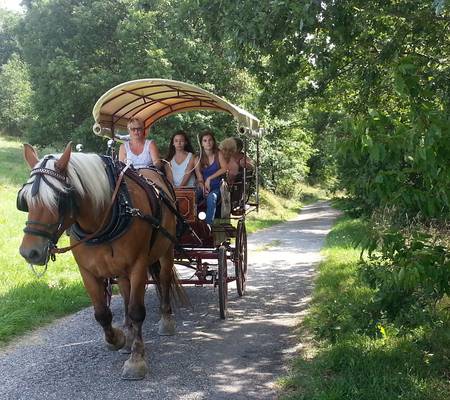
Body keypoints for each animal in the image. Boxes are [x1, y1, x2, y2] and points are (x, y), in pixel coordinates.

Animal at [15, 142, 185, 380]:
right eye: (24, 200)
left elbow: (137, 310)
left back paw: (166, 320)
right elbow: (102, 313)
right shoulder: (87, 271)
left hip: (166, 249)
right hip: (121, 269)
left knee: (164, 279)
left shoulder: (138, 265)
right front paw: (119, 338)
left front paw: (136, 360)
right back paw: (128, 334)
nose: (29, 252)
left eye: (59, 199)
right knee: (125, 293)